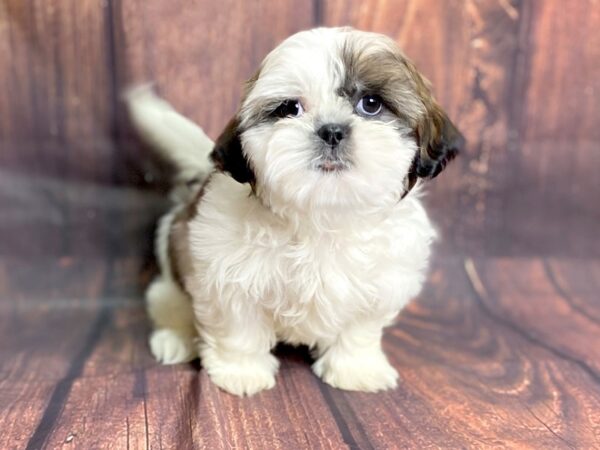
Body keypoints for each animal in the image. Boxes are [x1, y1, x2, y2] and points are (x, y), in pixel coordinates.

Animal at [126, 26, 464, 396]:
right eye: (289, 108)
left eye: (371, 104)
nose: (331, 130)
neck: (322, 213)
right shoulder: (226, 276)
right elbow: (238, 326)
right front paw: (241, 370)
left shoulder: (385, 279)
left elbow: (360, 328)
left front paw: (355, 367)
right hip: (173, 269)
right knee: (169, 303)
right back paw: (175, 339)